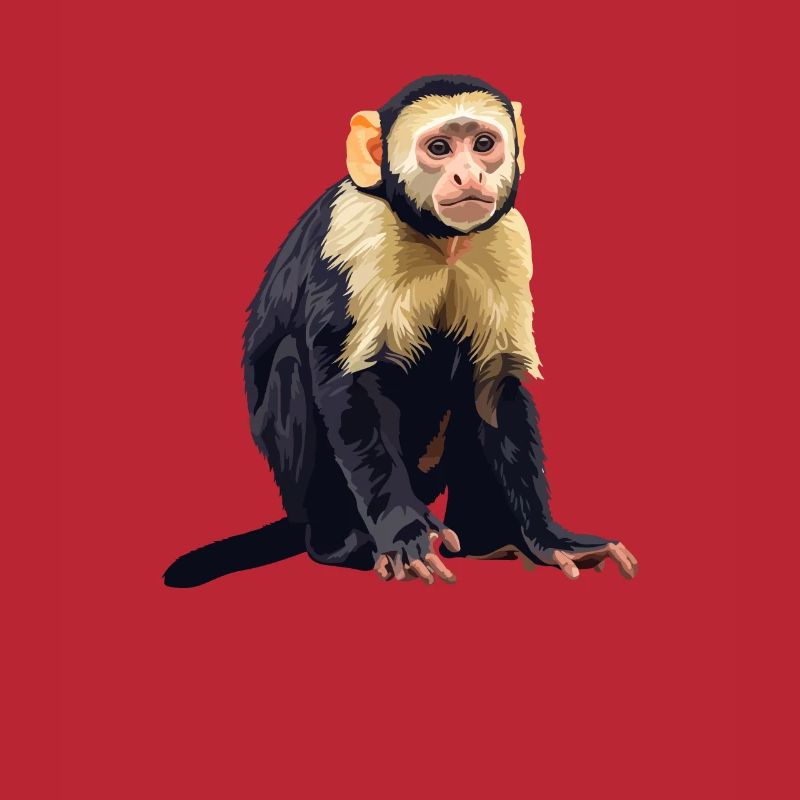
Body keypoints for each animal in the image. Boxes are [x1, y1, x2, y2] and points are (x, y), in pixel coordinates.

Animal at [163, 75, 638, 588]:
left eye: (483, 144)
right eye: (439, 148)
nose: (469, 176)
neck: (437, 238)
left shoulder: (507, 236)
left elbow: (494, 386)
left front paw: (549, 539)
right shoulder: (356, 229)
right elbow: (348, 384)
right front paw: (404, 532)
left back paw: (489, 541)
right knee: (293, 361)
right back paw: (339, 545)